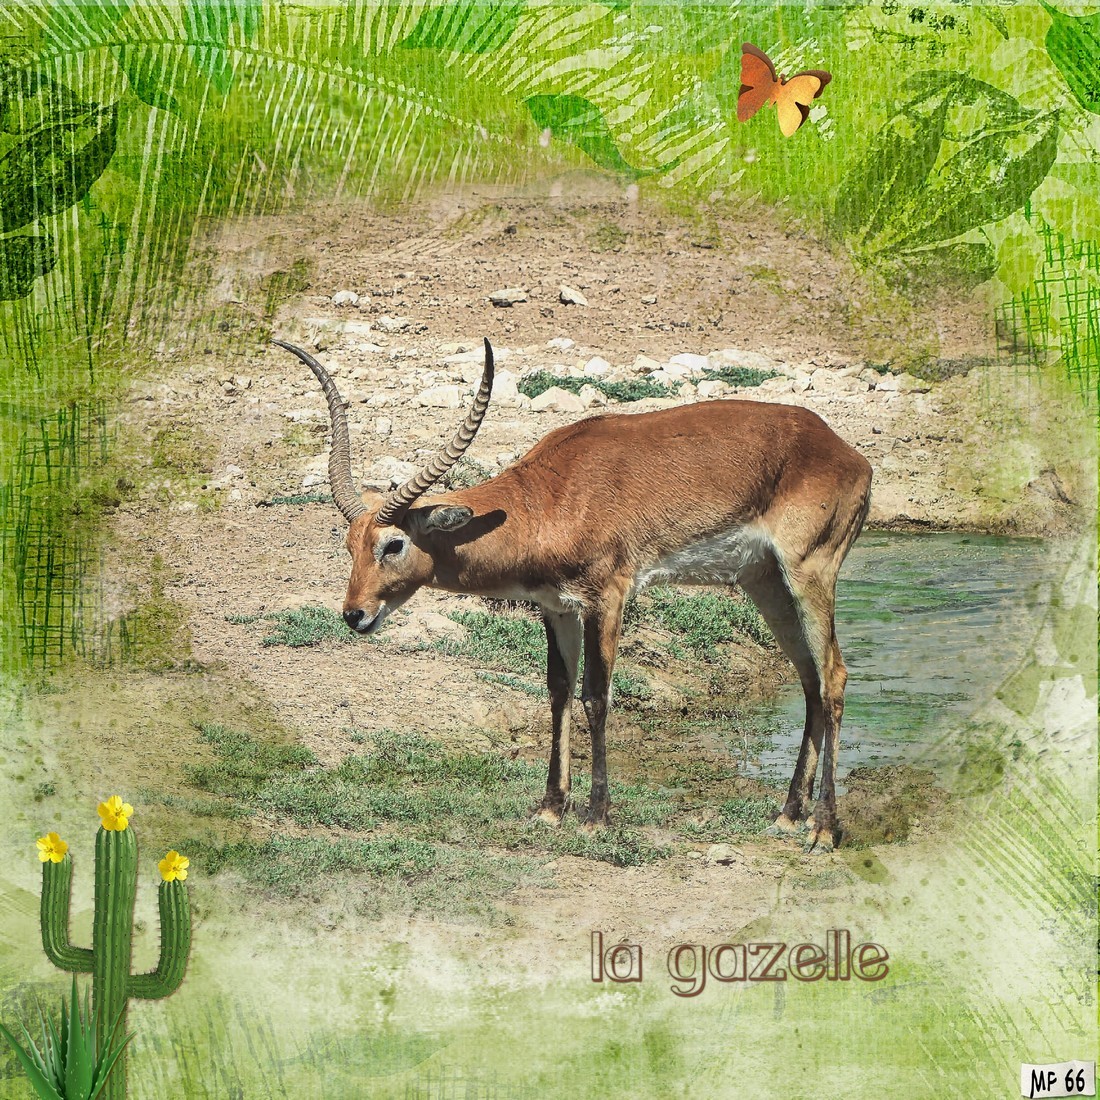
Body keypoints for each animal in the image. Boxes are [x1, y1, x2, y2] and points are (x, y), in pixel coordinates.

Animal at [273, 338, 872, 851]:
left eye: (393, 543)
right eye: (348, 544)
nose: (355, 615)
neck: (547, 499)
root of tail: (848, 453)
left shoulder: (607, 597)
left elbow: (595, 696)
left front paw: (596, 815)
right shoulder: (556, 607)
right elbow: (558, 691)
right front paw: (550, 807)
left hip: (809, 573)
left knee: (835, 675)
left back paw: (823, 830)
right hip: (764, 582)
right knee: (809, 679)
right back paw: (788, 815)